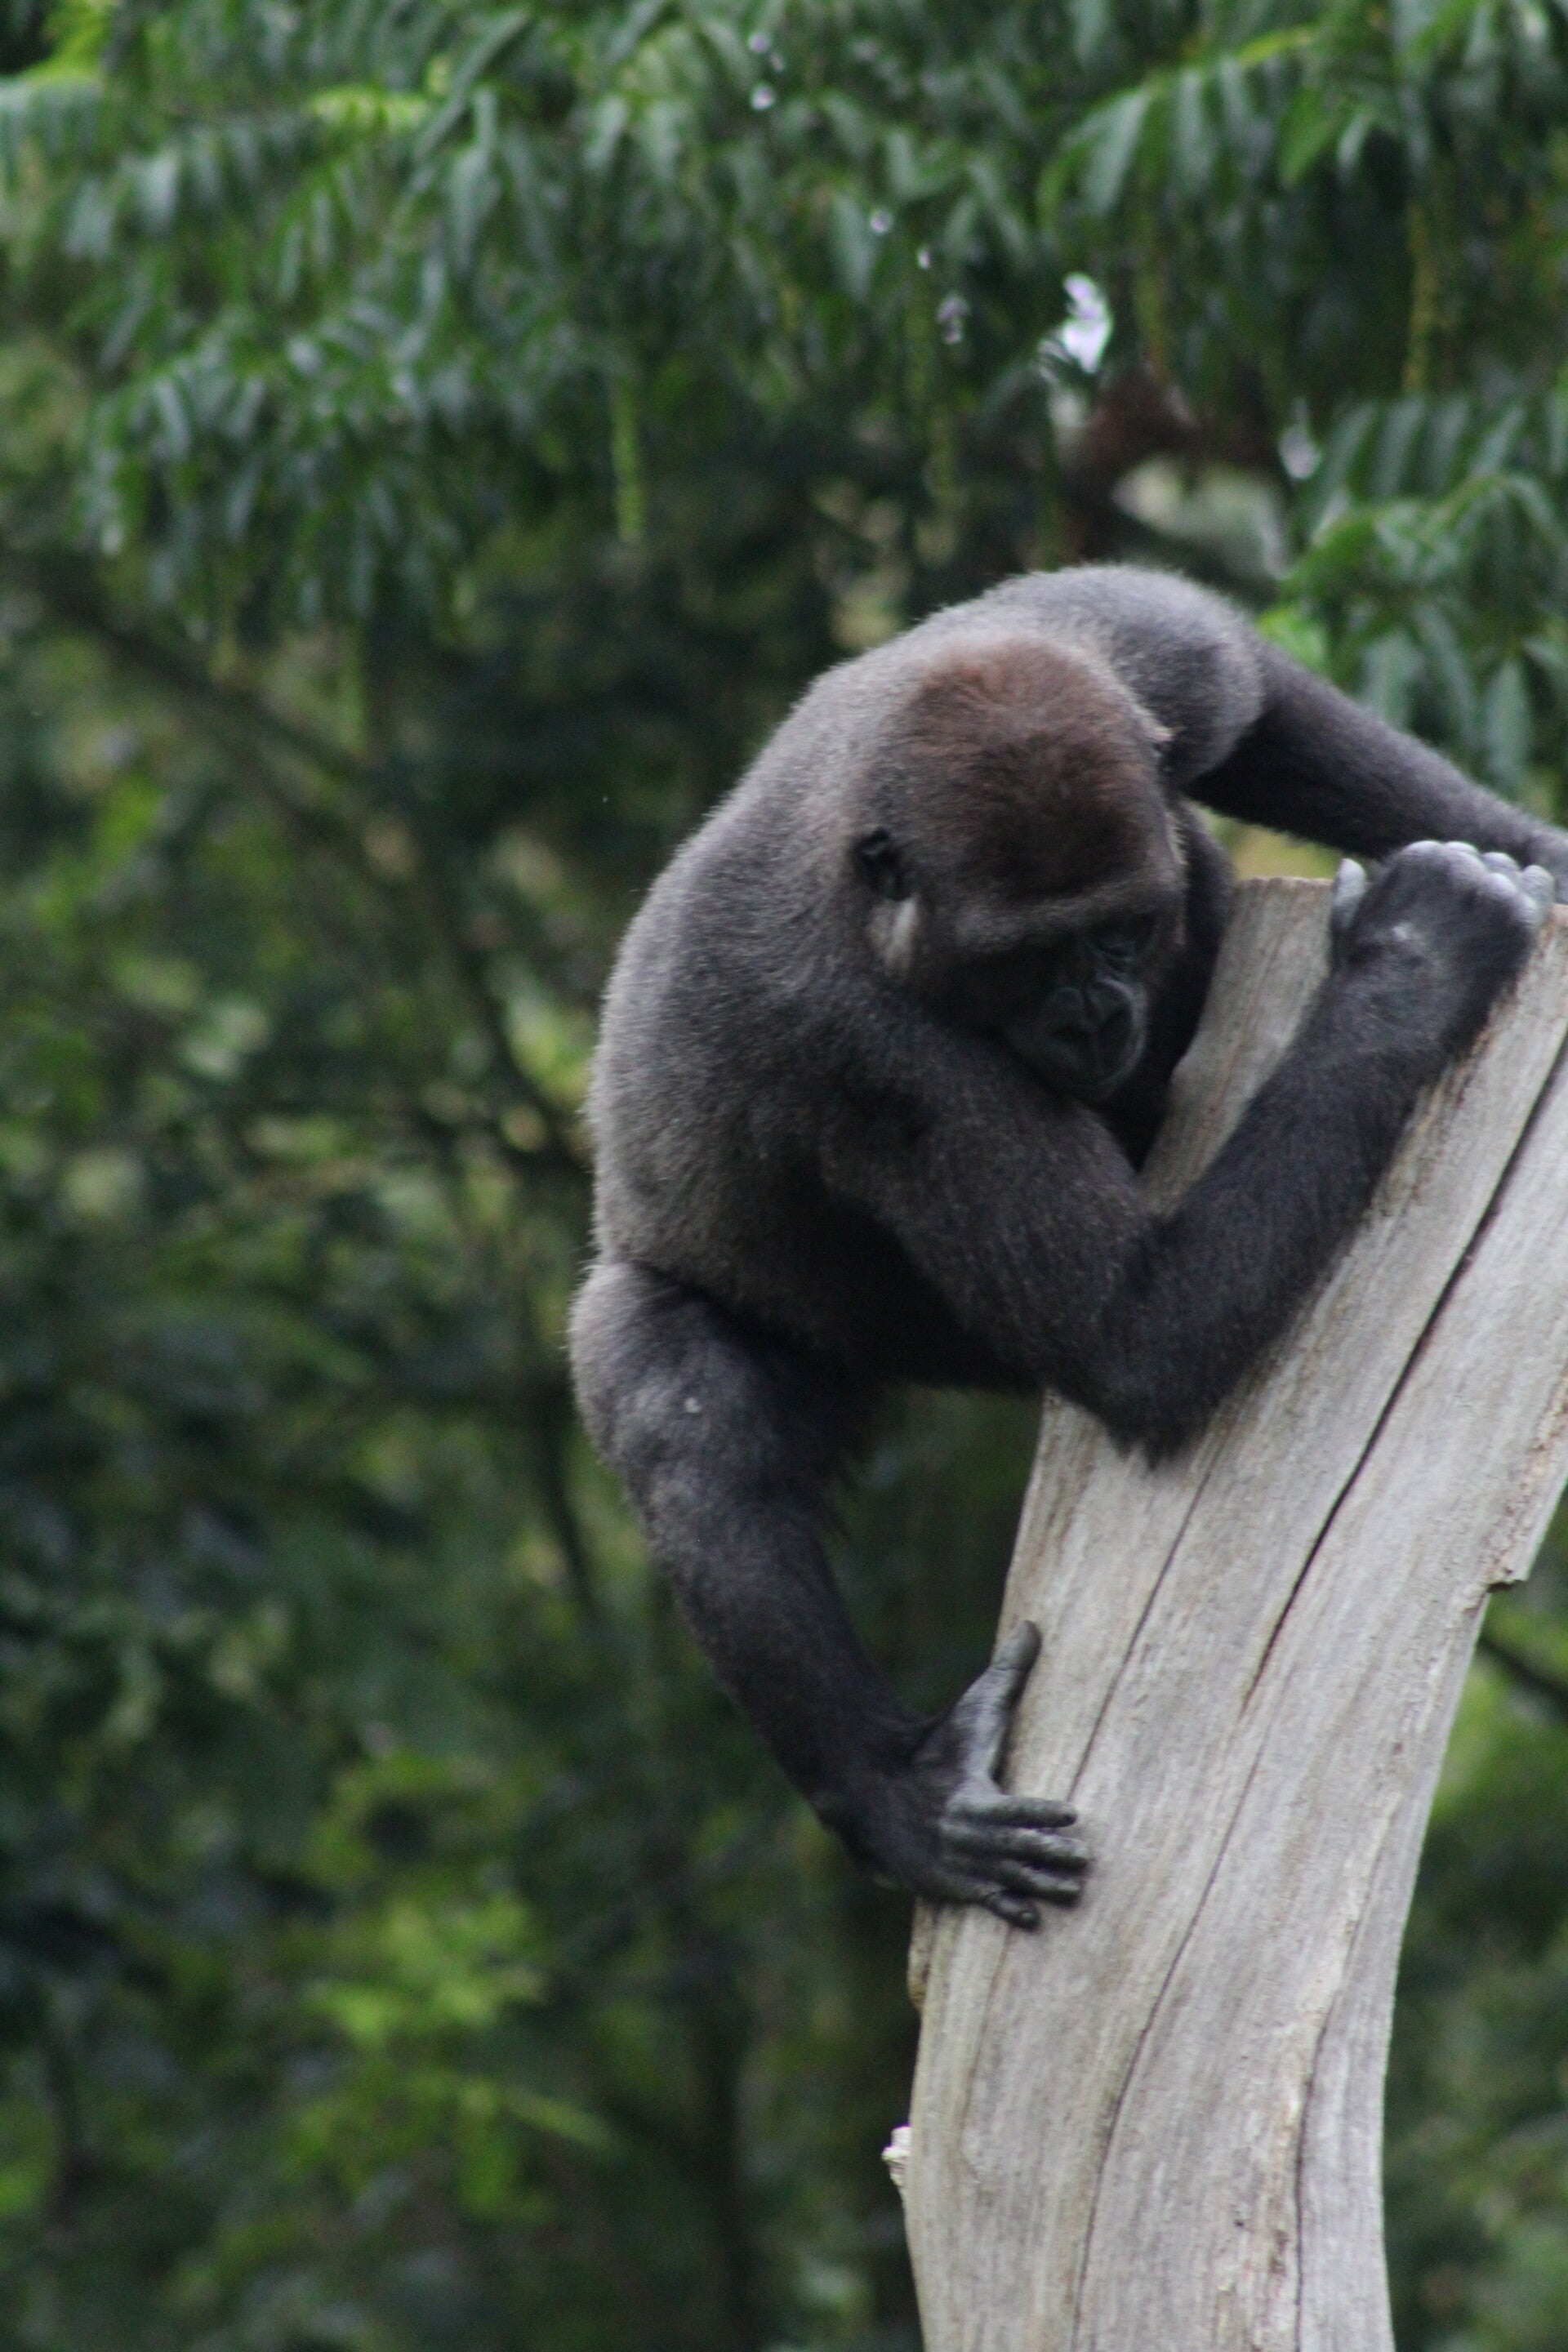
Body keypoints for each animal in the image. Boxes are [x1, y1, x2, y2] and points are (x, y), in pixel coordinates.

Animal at [569, 564, 1568, 1930]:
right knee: (691, 1422)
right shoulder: (870, 1054)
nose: (1093, 1015)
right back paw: (895, 1796)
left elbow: (1254, 695)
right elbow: (1137, 1338)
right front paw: (1418, 959)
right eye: (1030, 957)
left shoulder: (1131, 657)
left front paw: (1542, 863)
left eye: (1123, 931)